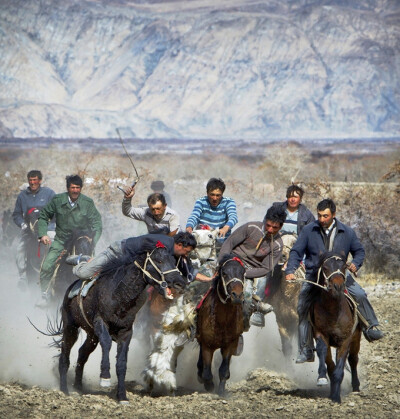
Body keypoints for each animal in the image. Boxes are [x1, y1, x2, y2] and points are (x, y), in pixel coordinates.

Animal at [195, 256, 245, 398]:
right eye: (225, 273)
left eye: (243, 272)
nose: (237, 296)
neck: (222, 321)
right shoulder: (207, 345)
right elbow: (207, 372)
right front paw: (209, 386)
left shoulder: (230, 345)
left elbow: (224, 370)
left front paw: (221, 391)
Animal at [310, 251, 362, 406]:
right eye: (325, 267)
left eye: (344, 266)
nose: (337, 286)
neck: (333, 311)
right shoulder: (321, 334)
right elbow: (329, 363)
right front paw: (324, 380)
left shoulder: (345, 340)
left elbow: (339, 369)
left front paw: (336, 398)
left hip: (356, 338)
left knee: (353, 360)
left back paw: (356, 387)